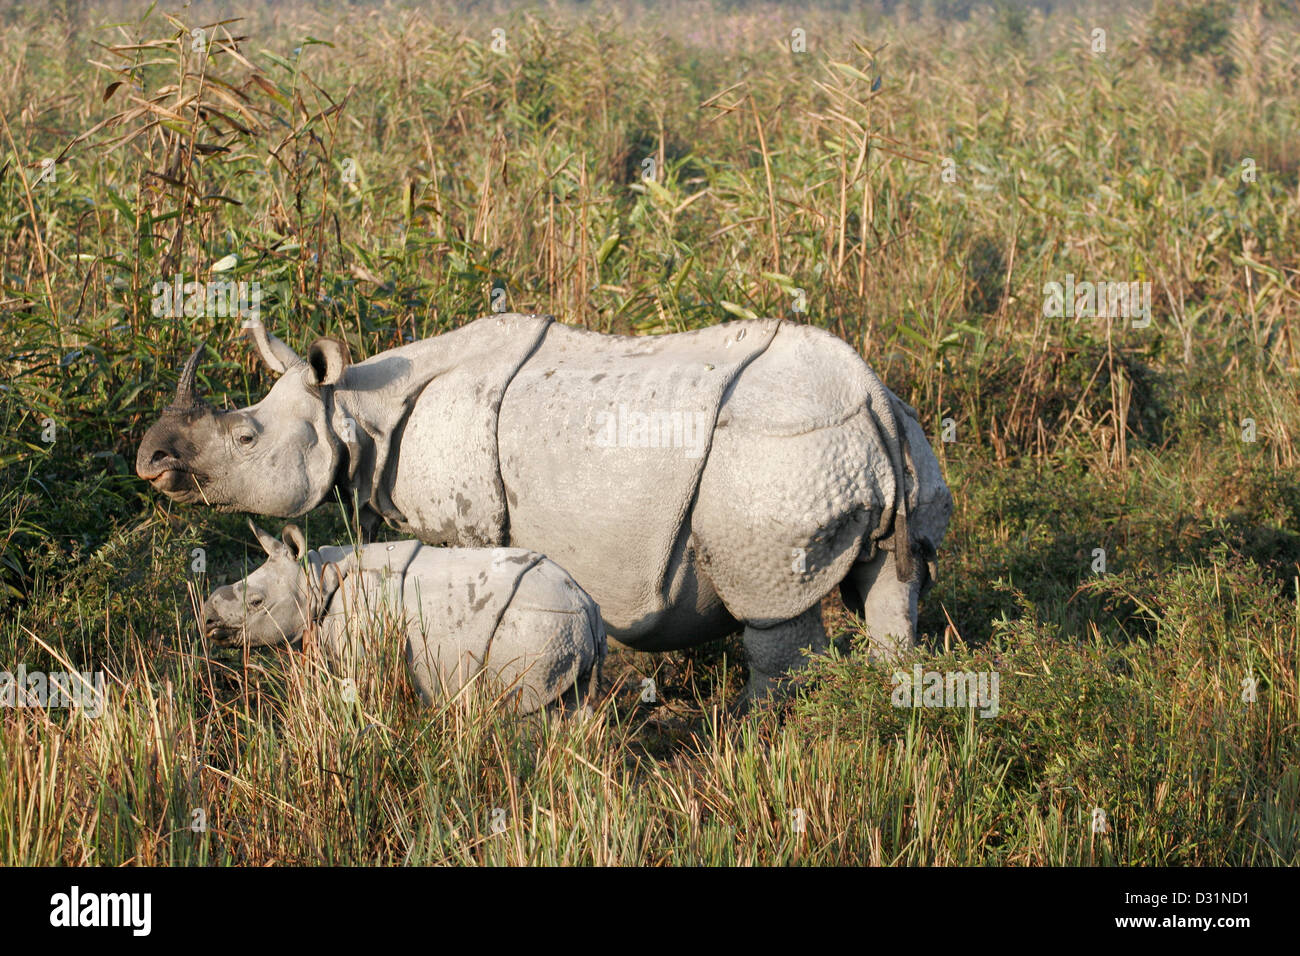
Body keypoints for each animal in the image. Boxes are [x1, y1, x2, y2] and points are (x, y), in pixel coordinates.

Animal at [202, 520, 608, 712]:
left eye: (256, 602)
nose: (207, 620)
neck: (315, 579)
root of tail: (587, 606)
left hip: (535, 630)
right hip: (564, 627)